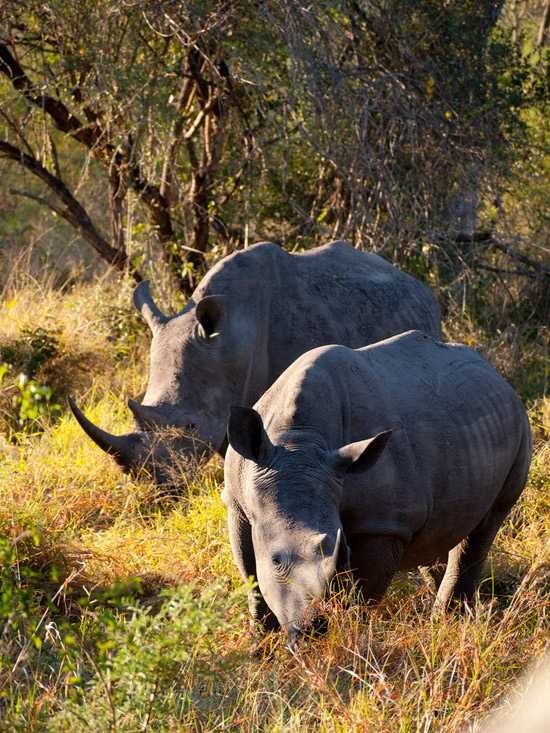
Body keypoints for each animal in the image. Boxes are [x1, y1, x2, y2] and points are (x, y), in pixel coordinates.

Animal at [223, 330, 531, 644]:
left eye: (344, 554)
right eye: (275, 560)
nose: (313, 629)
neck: (298, 442)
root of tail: (496, 375)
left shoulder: (381, 523)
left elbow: (363, 595)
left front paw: (352, 638)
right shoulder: (238, 503)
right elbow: (250, 574)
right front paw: (262, 643)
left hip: (520, 427)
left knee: (487, 523)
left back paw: (448, 620)